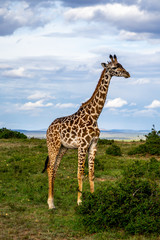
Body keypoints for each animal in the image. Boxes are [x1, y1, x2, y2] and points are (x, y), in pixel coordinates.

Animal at [42, 54, 130, 208]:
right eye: (115, 67)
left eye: (121, 65)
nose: (127, 74)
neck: (94, 116)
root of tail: (48, 127)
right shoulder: (82, 145)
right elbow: (80, 172)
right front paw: (79, 201)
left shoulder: (94, 144)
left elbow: (91, 173)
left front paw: (93, 198)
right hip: (53, 145)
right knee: (50, 168)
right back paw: (50, 203)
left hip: (63, 147)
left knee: (55, 169)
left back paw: (52, 200)